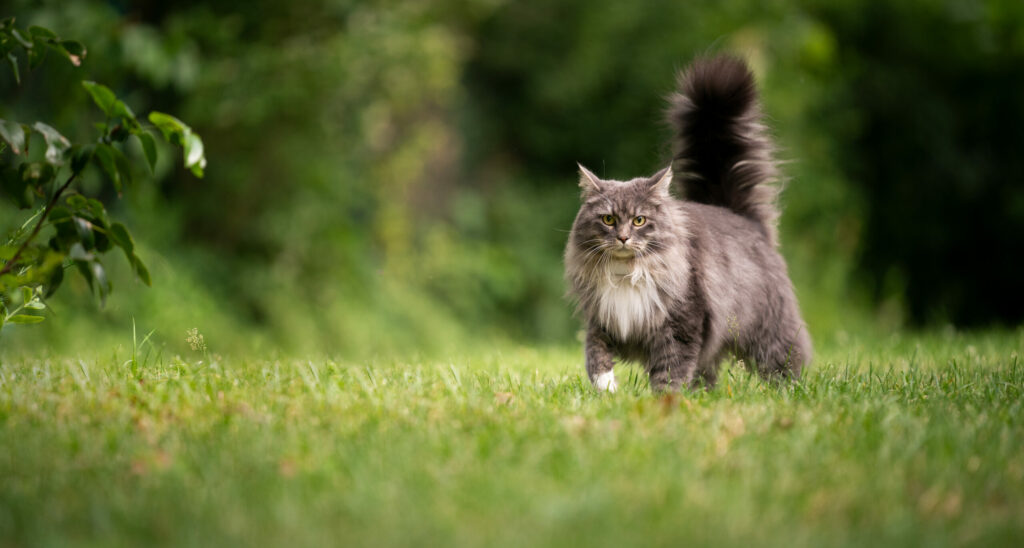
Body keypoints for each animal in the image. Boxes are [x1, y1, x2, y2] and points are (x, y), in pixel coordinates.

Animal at [565, 53, 811, 393]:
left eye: (639, 220)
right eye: (609, 219)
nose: (624, 238)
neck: (628, 273)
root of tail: (738, 214)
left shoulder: (682, 324)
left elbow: (670, 370)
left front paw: (663, 400)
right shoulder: (605, 319)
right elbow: (595, 354)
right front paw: (607, 389)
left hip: (769, 331)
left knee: (787, 360)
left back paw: (789, 391)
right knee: (707, 373)